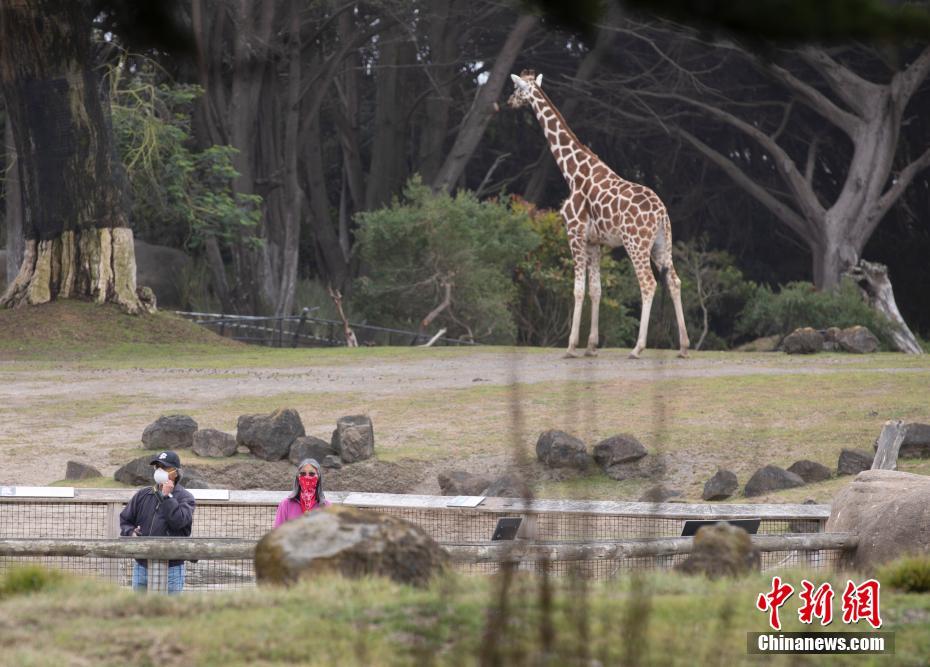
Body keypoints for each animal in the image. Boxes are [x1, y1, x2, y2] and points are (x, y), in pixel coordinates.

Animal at [508, 72, 688, 360]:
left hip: (636, 244)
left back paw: (638, 348)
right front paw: (591, 346)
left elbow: (578, 289)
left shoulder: (574, 233)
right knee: (674, 281)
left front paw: (571, 346)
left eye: (516, 88)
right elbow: (596, 290)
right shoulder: (595, 242)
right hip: (662, 244)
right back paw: (683, 346)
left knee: (648, 283)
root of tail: (661, 213)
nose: (508, 102)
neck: (572, 172)